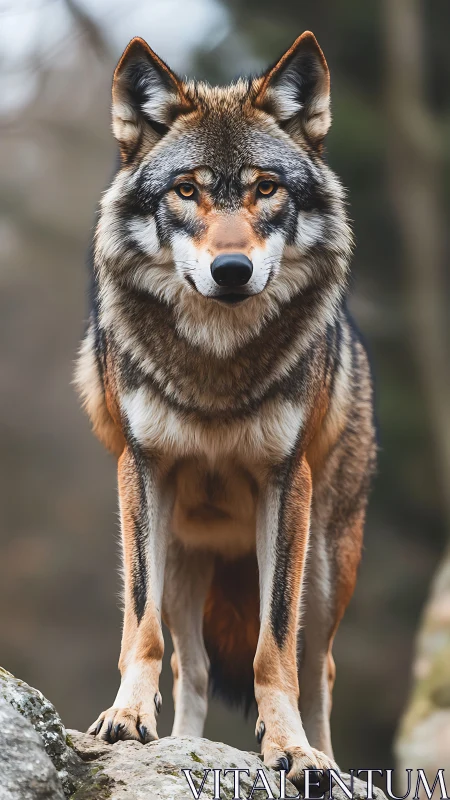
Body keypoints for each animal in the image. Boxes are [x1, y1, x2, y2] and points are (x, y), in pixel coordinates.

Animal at [75, 31, 376, 781]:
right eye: (187, 190)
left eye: (265, 188)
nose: (232, 271)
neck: (216, 364)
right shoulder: (141, 470)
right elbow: (142, 627)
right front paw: (126, 717)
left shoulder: (286, 482)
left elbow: (275, 647)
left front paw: (291, 749)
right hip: (187, 562)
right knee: (196, 667)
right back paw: (179, 741)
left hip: (326, 566)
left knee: (319, 667)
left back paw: (325, 757)